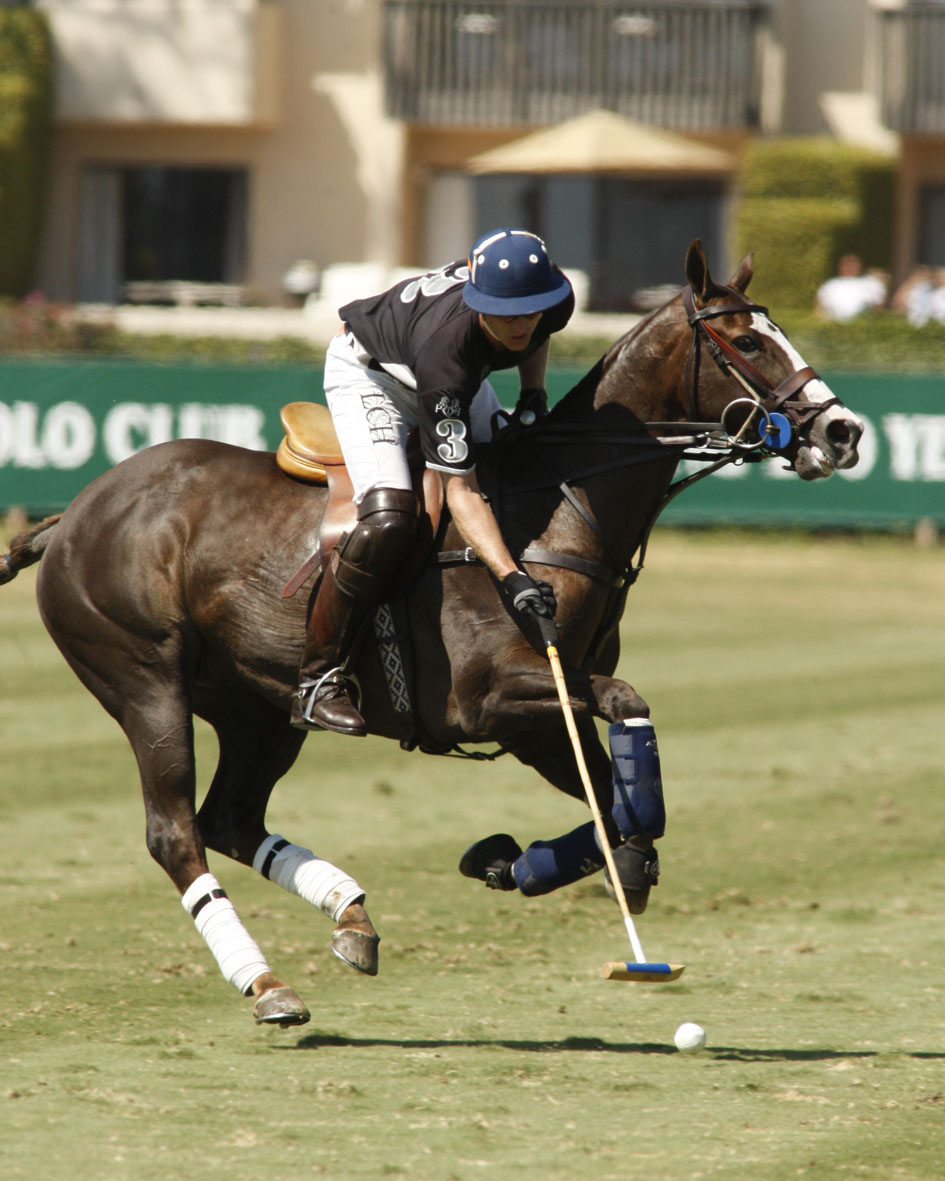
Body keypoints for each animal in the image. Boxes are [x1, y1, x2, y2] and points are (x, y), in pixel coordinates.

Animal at [1, 241, 863, 1028]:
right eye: (746, 340)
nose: (844, 431)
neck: (557, 509)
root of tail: (72, 513)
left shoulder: (540, 721)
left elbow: (615, 813)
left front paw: (509, 860)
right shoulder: (494, 699)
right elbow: (627, 713)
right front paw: (553, 858)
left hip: (258, 706)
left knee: (230, 819)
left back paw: (350, 915)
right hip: (144, 678)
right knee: (176, 831)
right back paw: (266, 983)